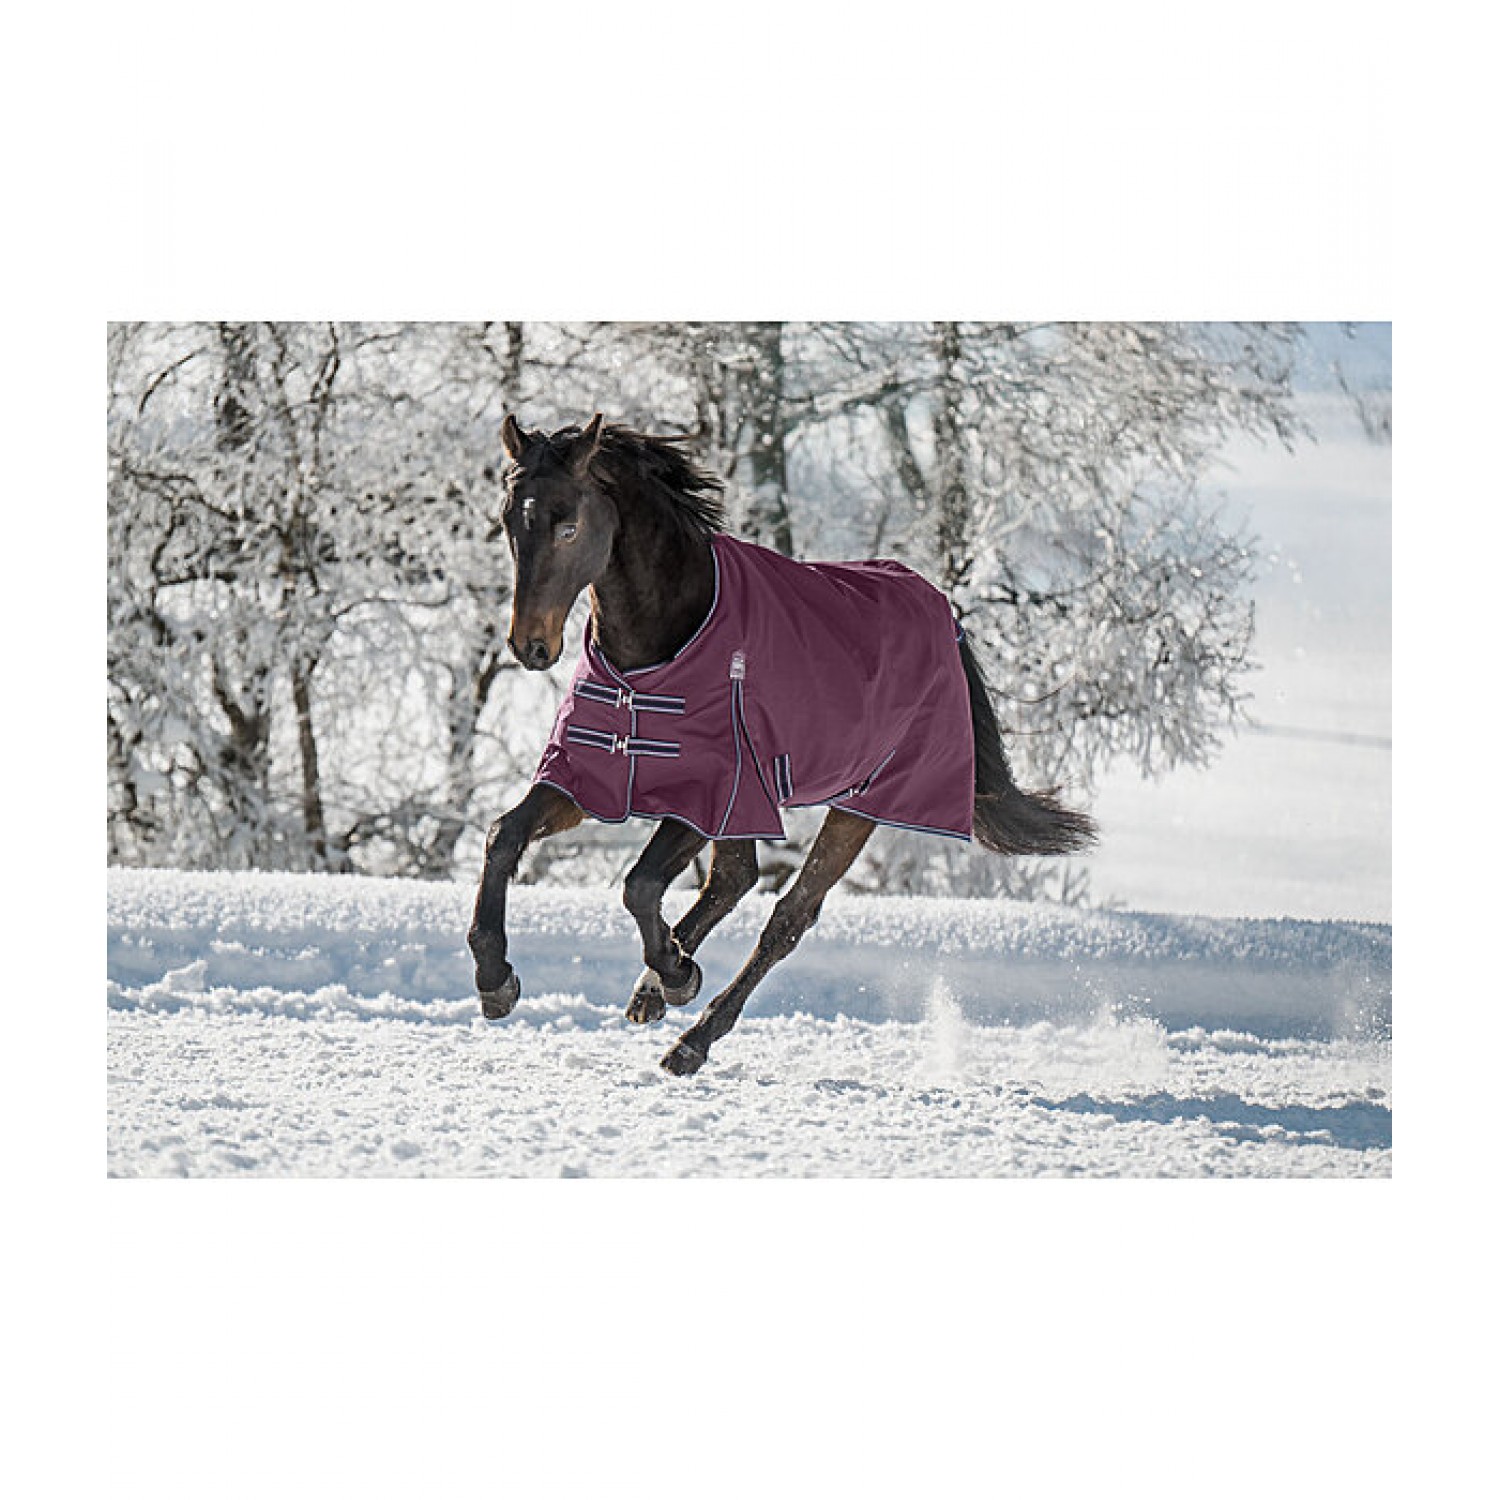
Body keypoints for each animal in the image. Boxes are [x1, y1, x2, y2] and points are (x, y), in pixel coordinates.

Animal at [467, 414, 1096, 1076]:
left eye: (568, 526)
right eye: (509, 522)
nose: (530, 646)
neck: (658, 652)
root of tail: (943, 615)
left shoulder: (712, 793)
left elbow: (639, 885)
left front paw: (679, 974)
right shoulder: (593, 775)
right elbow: (503, 836)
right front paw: (497, 980)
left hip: (860, 806)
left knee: (787, 915)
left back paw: (691, 1036)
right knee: (733, 880)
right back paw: (652, 992)